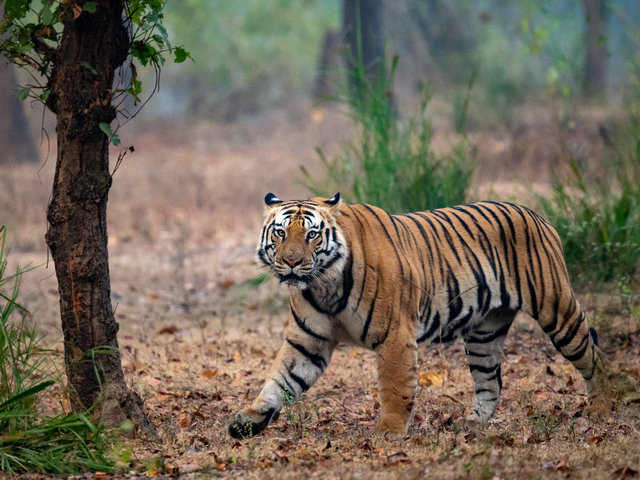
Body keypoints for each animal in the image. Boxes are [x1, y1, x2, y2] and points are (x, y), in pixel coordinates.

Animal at [228, 193, 611, 438]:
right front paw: (249, 420)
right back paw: (471, 425)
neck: (323, 284)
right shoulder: (308, 341)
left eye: (311, 234)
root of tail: (538, 216)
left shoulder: (395, 336)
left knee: (594, 355)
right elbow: (280, 380)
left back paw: (600, 409)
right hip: (484, 333)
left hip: (557, 309)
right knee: (491, 383)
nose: (291, 262)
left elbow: (395, 387)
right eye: (280, 233)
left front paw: (388, 433)